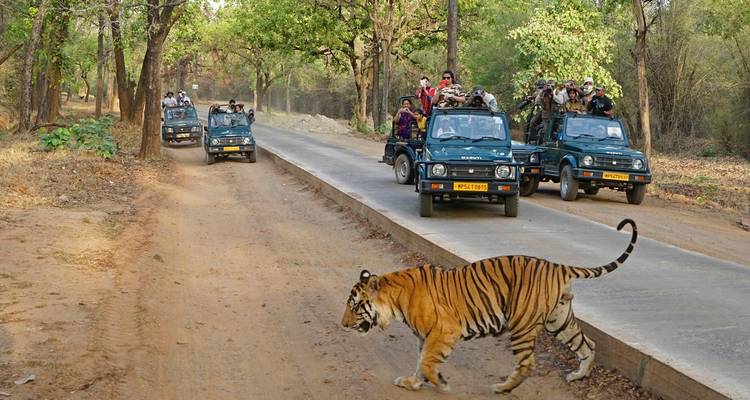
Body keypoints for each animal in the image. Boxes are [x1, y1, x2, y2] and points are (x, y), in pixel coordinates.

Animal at [341, 218, 637, 393]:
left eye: (355, 306)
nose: (342, 325)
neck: (394, 300)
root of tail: (557, 266)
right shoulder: (425, 336)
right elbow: (420, 361)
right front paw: (412, 382)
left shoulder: (444, 331)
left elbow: (426, 361)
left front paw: (440, 383)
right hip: (559, 320)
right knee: (588, 344)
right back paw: (578, 376)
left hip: (522, 324)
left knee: (528, 364)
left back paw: (503, 388)